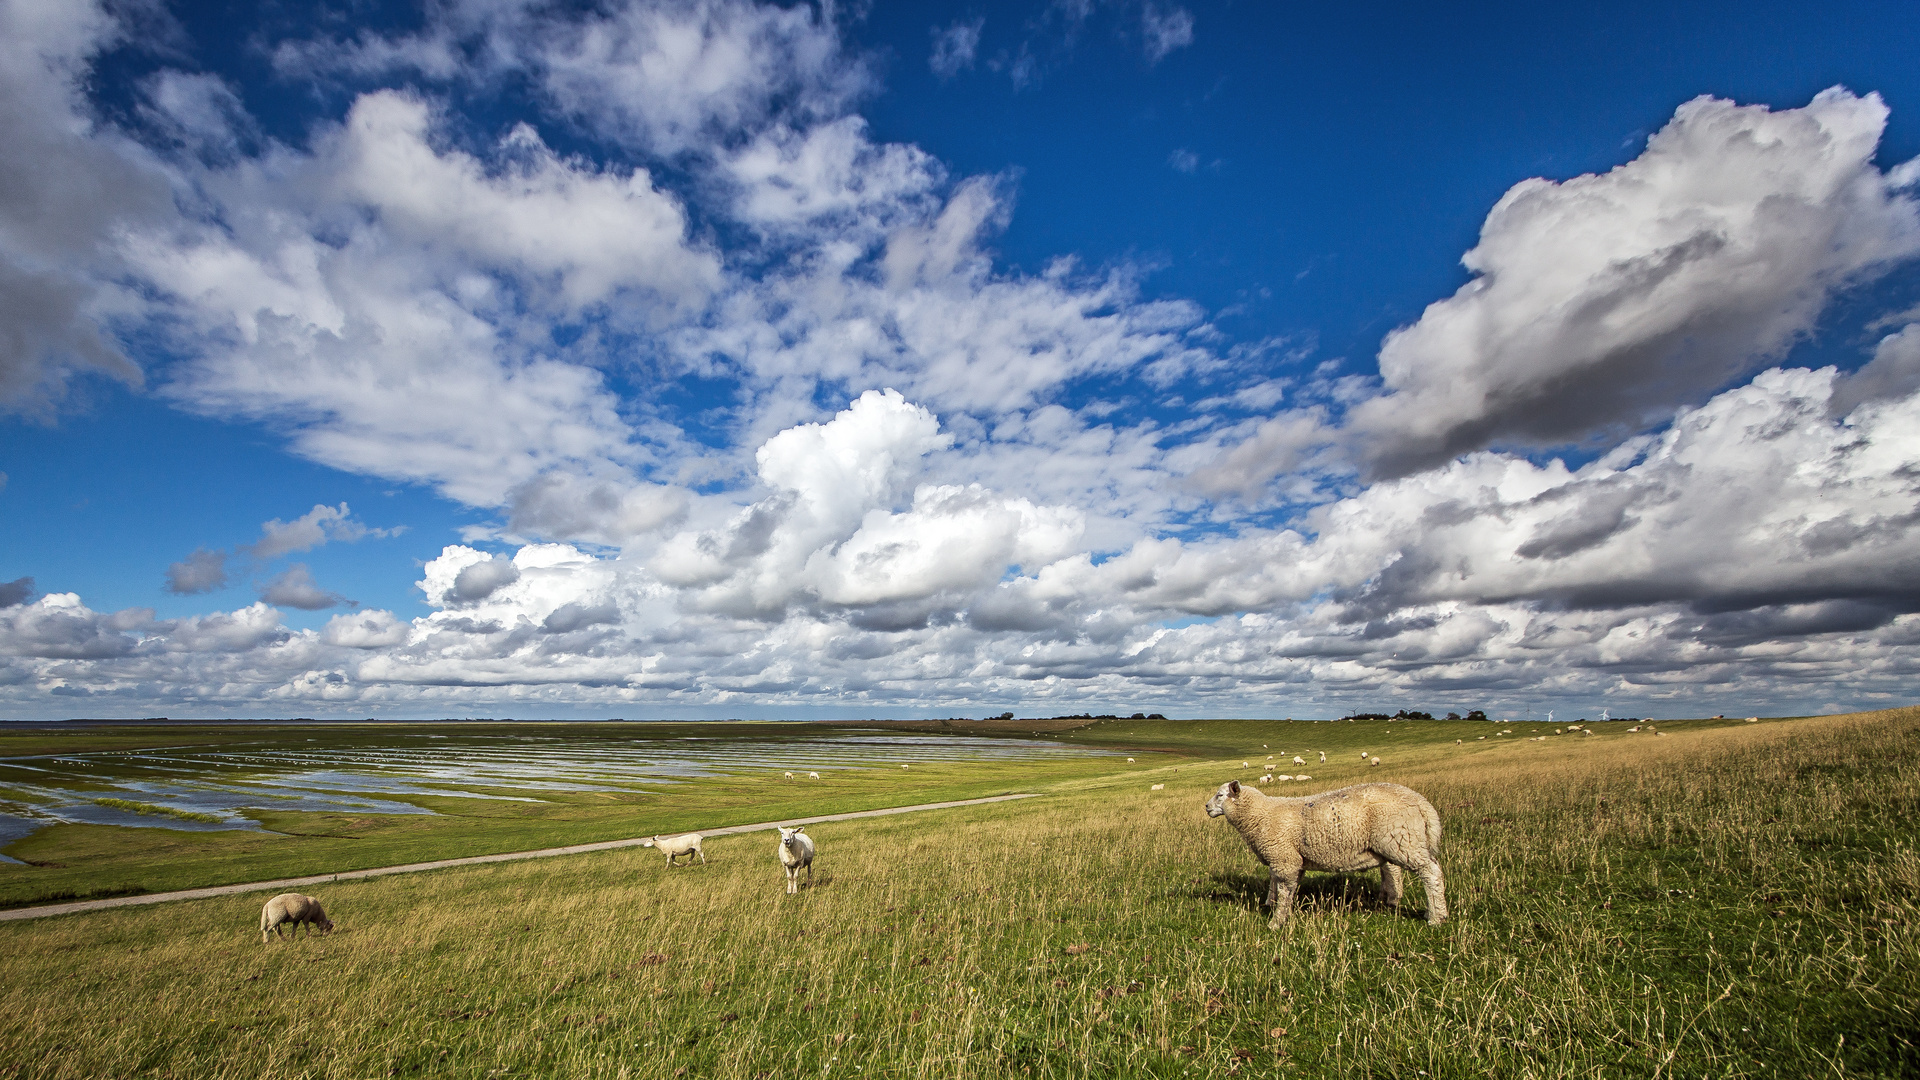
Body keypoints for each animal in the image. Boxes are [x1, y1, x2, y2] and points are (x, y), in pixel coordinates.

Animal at [1205, 772, 1443, 926]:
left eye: (1220, 795)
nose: (1206, 807)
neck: (1261, 814)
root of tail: (1422, 802)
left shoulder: (1285, 858)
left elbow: (1284, 889)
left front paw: (1276, 922)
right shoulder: (1285, 857)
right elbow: (1277, 883)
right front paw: (1270, 904)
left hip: (1403, 839)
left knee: (1431, 873)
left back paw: (1436, 917)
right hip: (1392, 842)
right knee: (1393, 870)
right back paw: (1391, 900)